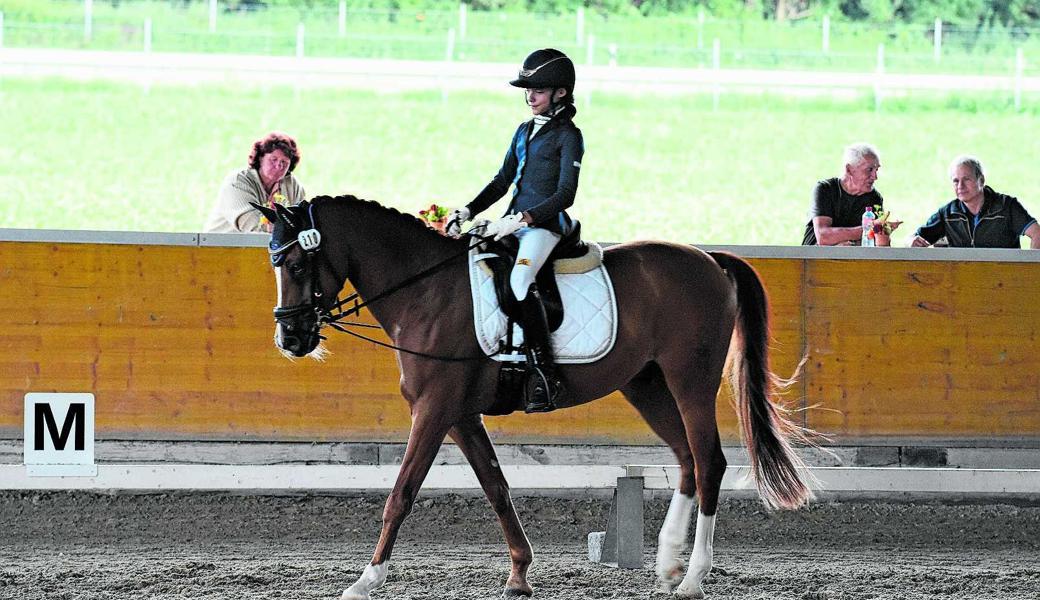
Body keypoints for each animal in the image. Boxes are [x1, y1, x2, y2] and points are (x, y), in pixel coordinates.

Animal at [249, 194, 811, 594]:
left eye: (295, 265)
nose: (290, 339)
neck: (426, 293)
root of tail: (710, 259)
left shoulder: (434, 411)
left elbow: (401, 493)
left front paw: (366, 580)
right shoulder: (459, 416)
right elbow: (496, 487)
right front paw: (520, 573)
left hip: (689, 380)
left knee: (709, 461)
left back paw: (693, 578)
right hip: (646, 385)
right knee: (687, 460)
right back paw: (668, 563)